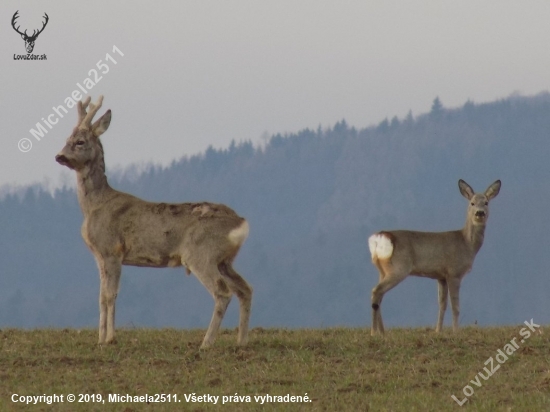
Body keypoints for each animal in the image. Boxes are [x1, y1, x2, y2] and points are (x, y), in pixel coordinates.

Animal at [55, 96, 253, 348]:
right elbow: (100, 296)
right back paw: (241, 342)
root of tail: (241, 222)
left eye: (80, 141)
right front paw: (100, 339)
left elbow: (110, 294)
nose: (59, 156)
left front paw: (110, 338)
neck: (93, 207)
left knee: (223, 292)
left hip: (202, 254)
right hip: (224, 260)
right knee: (245, 289)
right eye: (66, 140)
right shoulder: (99, 255)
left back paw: (206, 343)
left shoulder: (112, 250)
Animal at [368, 180, 502, 334]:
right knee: (376, 291)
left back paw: (383, 332)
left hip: (383, 269)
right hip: (399, 268)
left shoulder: (441, 276)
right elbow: (455, 306)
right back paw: (374, 332)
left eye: (486, 202)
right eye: (472, 203)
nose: (480, 213)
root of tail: (380, 237)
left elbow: (442, 304)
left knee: (379, 295)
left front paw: (438, 330)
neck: (467, 244)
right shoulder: (454, 272)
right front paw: (456, 332)